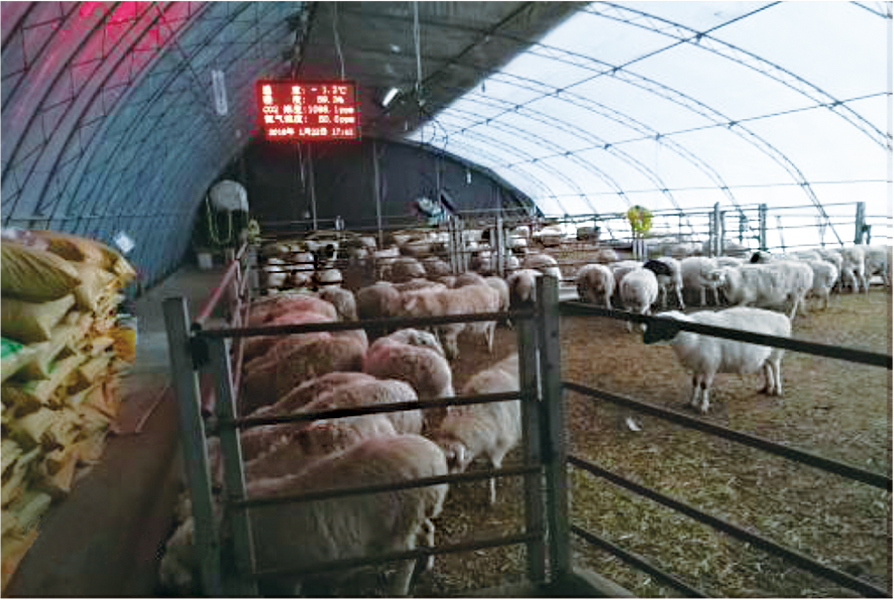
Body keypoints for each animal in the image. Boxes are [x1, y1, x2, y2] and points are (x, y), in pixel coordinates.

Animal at [643, 307, 791, 414]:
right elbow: (695, 383)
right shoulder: (698, 364)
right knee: (767, 369)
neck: (692, 337)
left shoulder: (710, 365)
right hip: (766, 356)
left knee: (776, 369)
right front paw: (692, 402)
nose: (644, 339)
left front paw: (703, 407)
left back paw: (777, 390)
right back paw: (767, 388)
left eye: (662, 325)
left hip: (776, 353)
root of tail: (783, 317)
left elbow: (704, 385)